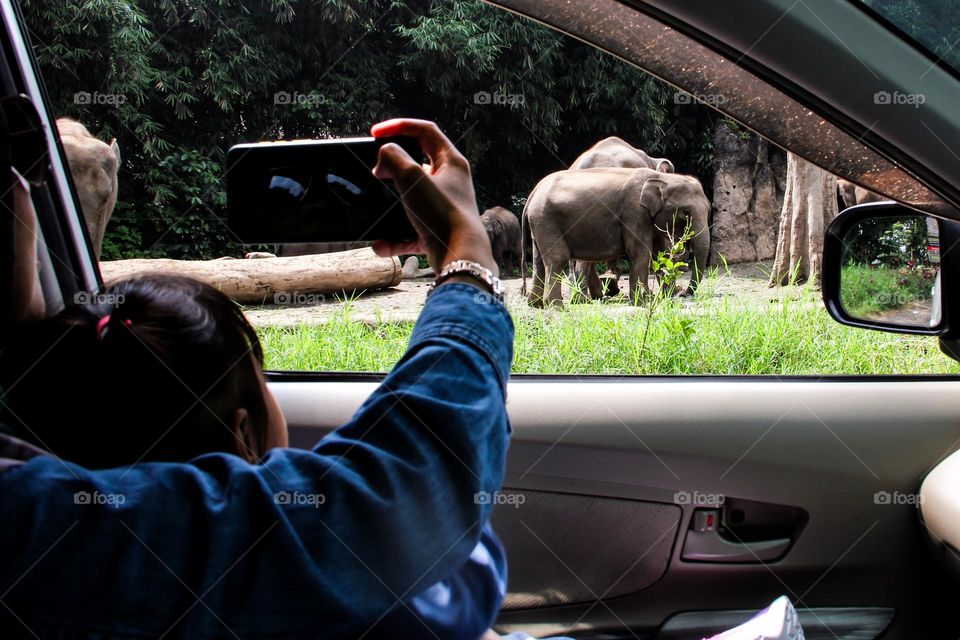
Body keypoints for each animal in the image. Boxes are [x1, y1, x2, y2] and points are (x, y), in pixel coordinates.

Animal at [520, 168, 708, 308]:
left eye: (709, 209)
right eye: (685, 213)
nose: (684, 294)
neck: (662, 178)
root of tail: (532, 194)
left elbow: (660, 253)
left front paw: (667, 300)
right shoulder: (634, 212)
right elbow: (641, 252)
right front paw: (642, 303)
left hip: (539, 223)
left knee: (538, 261)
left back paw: (535, 305)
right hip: (546, 220)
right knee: (557, 258)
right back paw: (557, 307)